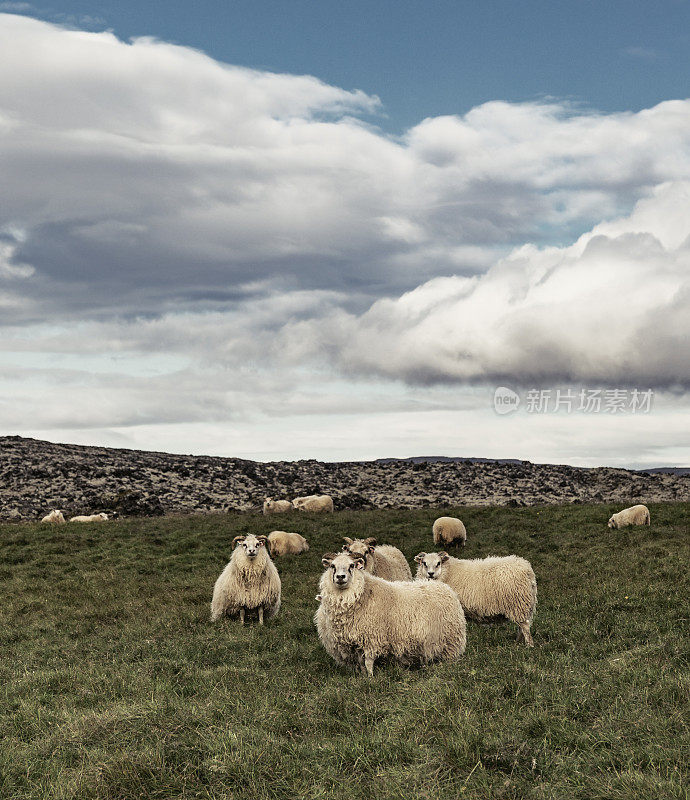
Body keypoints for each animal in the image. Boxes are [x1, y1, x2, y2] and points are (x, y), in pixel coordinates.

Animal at [314, 552, 464, 680]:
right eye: (332, 566)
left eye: (351, 565)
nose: (340, 577)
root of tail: (443, 586)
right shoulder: (355, 643)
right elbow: (361, 663)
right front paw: (362, 677)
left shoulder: (372, 638)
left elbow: (368, 662)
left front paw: (370, 678)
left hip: (450, 640)